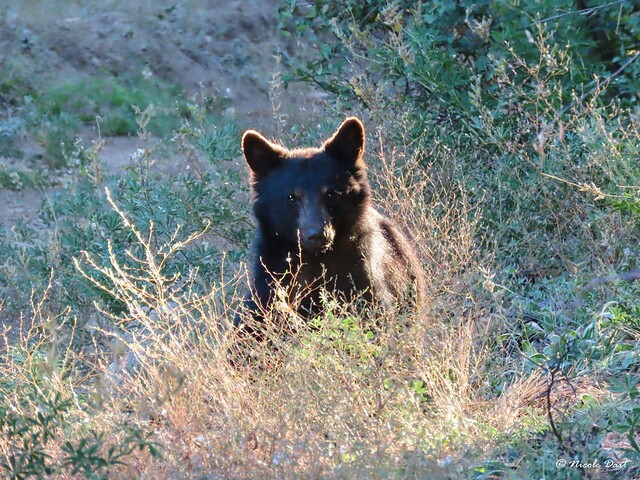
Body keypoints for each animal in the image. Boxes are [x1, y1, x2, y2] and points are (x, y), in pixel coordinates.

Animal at [235, 117, 425, 335]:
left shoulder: (360, 273)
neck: (315, 259)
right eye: (291, 197)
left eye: (331, 194)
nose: (317, 234)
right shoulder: (271, 276)